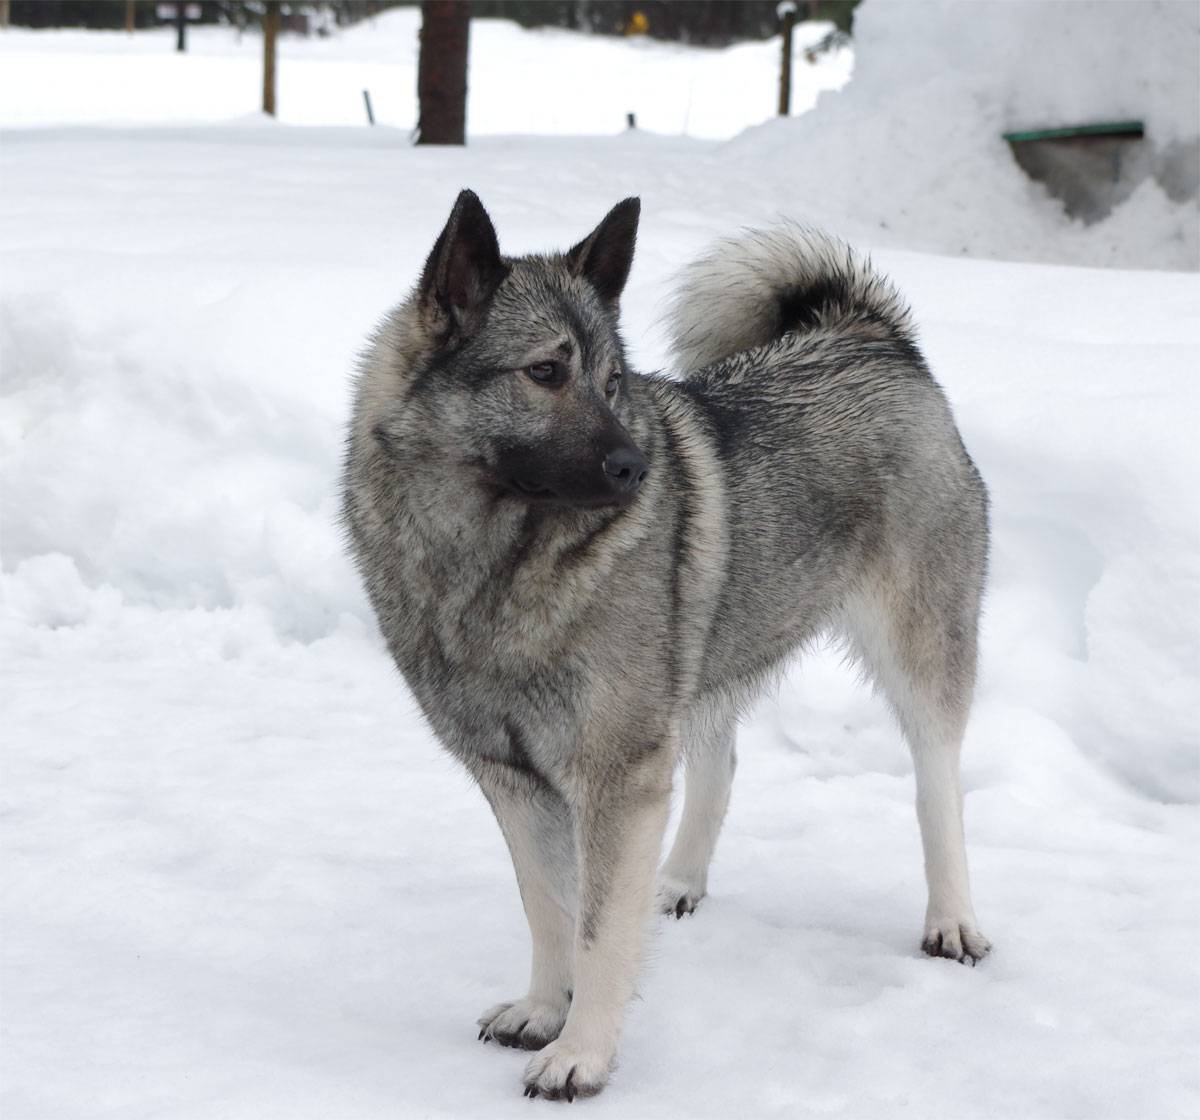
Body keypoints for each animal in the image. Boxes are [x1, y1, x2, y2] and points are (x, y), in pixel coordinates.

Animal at [340, 189, 993, 1094]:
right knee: (719, 766)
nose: (636, 468)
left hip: (920, 648)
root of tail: (868, 333)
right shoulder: (515, 781)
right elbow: (549, 909)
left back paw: (951, 919)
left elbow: (596, 929)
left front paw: (580, 1053)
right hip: (701, 661)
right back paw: (678, 879)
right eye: (546, 372)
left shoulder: (616, 777)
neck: (494, 561)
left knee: (938, 786)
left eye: (614, 381)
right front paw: (543, 1010)